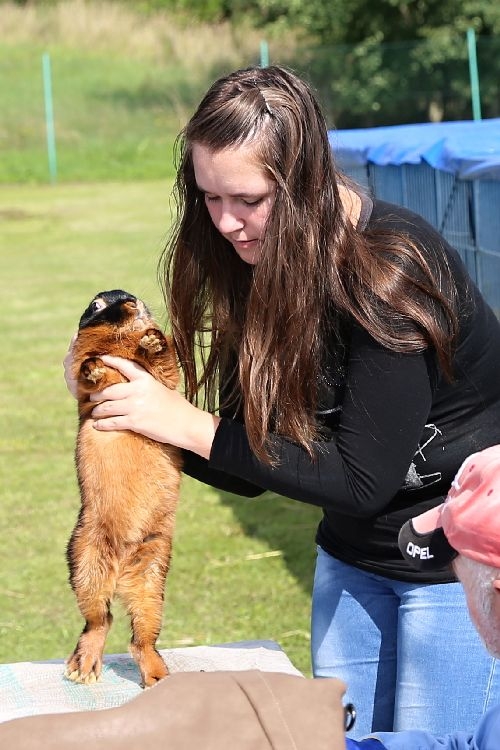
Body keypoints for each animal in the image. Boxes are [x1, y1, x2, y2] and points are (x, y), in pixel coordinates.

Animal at [65, 290, 183, 692]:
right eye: (97, 305)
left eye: (127, 296)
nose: (131, 302)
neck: (120, 343)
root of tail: (119, 572)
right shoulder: (88, 392)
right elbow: (87, 370)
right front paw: (95, 367)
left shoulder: (164, 382)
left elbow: (165, 362)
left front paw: (153, 340)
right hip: (86, 565)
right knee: (99, 622)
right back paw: (82, 670)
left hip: (152, 582)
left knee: (138, 640)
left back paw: (158, 678)